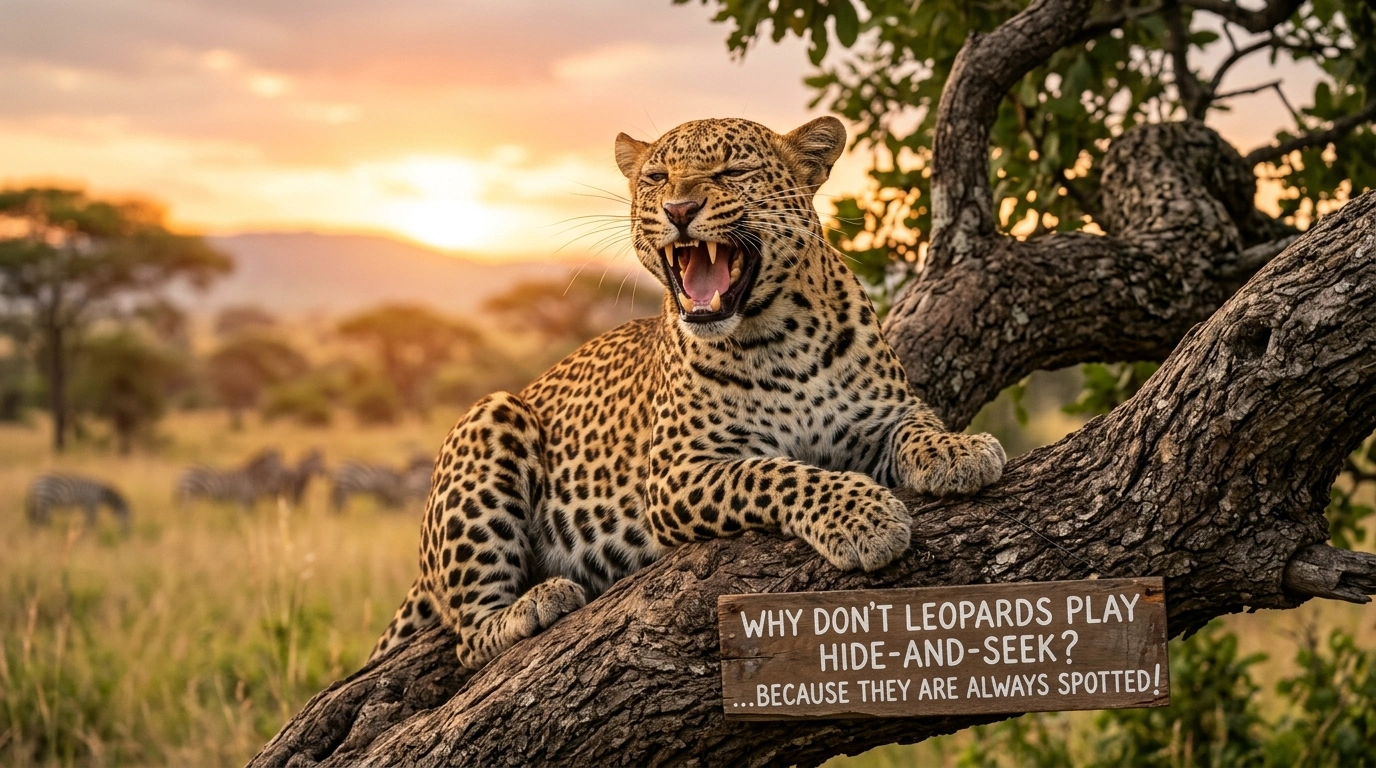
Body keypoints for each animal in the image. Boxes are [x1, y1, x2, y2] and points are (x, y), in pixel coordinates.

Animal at [369, 116, 1006, 670]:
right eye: (656, 177)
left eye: (733, 170)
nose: (679, 209)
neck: (780, 336)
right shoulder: (680, 471)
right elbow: (777, 472)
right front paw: (863, 517)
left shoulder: (885, 413)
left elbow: (918, 426)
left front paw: (960, 452)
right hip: (491, 415)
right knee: (467, 638)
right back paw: (536, 604)